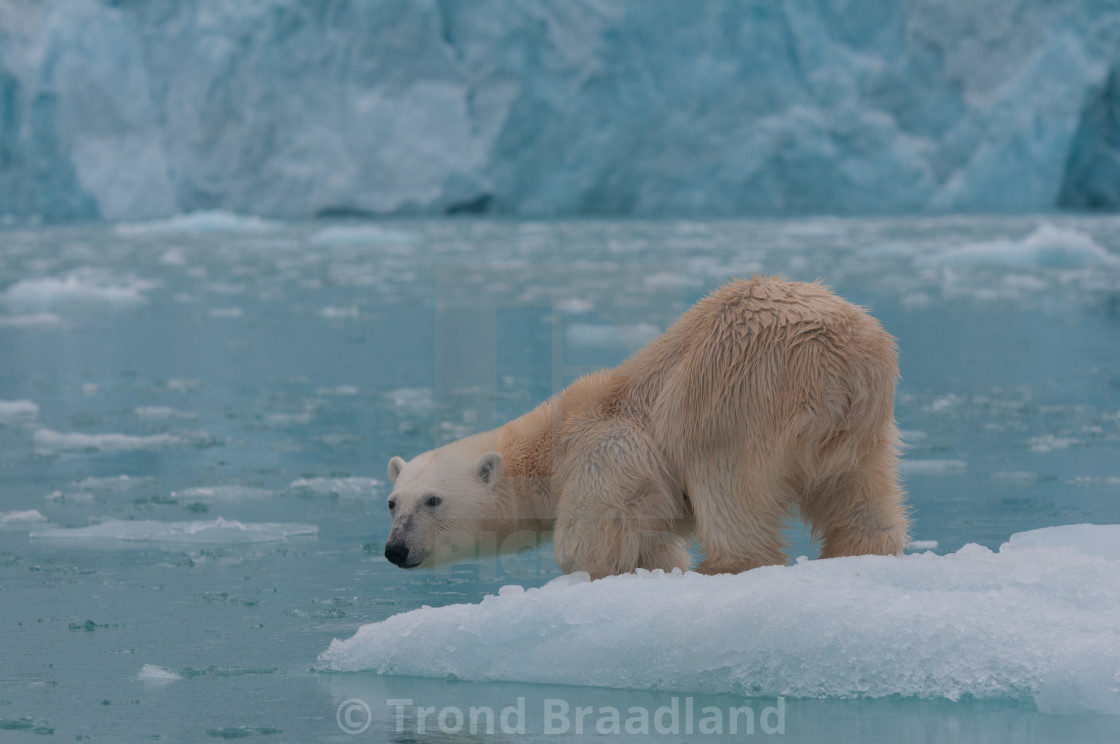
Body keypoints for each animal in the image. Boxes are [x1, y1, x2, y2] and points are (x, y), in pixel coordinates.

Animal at [385, 275, 909, 578]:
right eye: (392, 502)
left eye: (433, 500)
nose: (395, 549)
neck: (552, 443)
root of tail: (841, 358)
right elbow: (652, 540)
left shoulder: (606, 450)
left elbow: (594, 531)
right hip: (865, 424)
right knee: (862, 495)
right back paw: (862, 551)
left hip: (738, 391)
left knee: (730, 487)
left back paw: (724, 566)